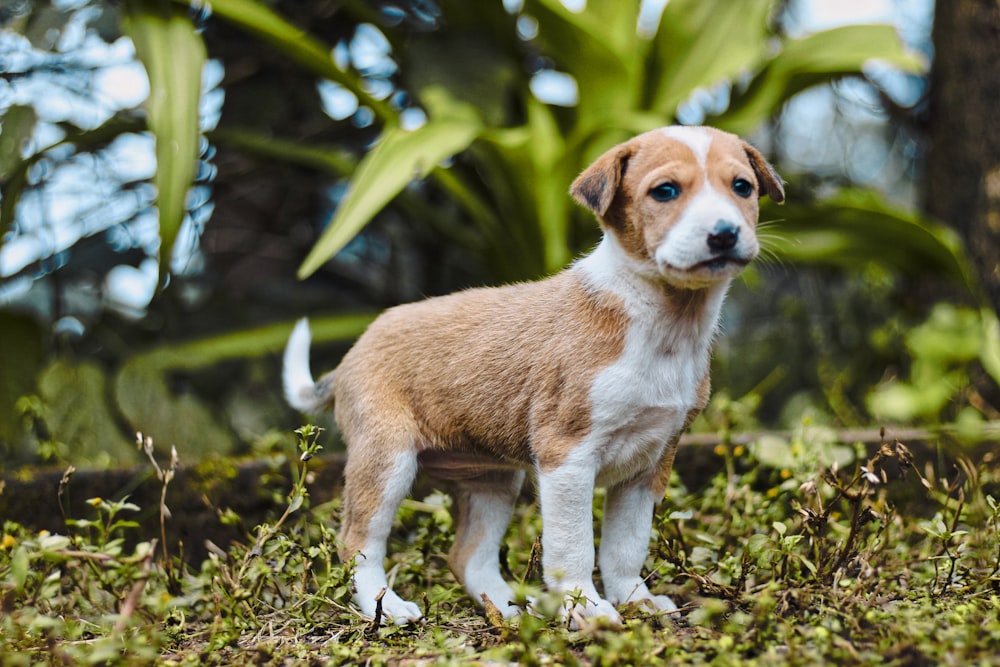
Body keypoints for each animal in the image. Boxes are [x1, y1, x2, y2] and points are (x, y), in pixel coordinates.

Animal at [282, 124, 780, 628]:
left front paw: (634, 598)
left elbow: (625, 548)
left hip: (491, 480)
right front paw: (587, 609)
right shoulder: (567, 458)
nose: (724, 234)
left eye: (742, 187)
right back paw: (387, 607)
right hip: (387, 461)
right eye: (665, 191)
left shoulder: (649, 466)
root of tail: (354, 350)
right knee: (358, 541)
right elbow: (574, 548)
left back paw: (507, 609)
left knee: (468, 556)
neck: (661, 319)